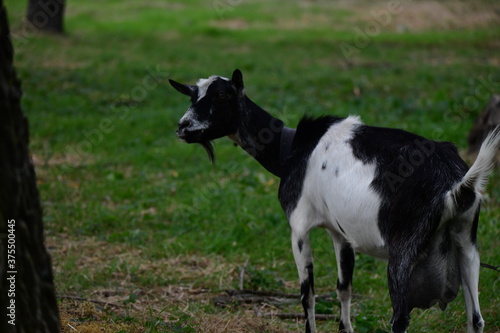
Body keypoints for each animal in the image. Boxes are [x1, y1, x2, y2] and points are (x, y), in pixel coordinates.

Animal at [170, 68, 498, 330]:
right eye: (192, 96)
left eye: (222, 96)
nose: (183, 126)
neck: (290, 150)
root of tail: (456, 183)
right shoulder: (341, 233)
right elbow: (344, 288)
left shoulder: (299, 226)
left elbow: (308, 295)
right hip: (467, 241)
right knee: (476, 318)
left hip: (404, 249)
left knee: (400, 318)